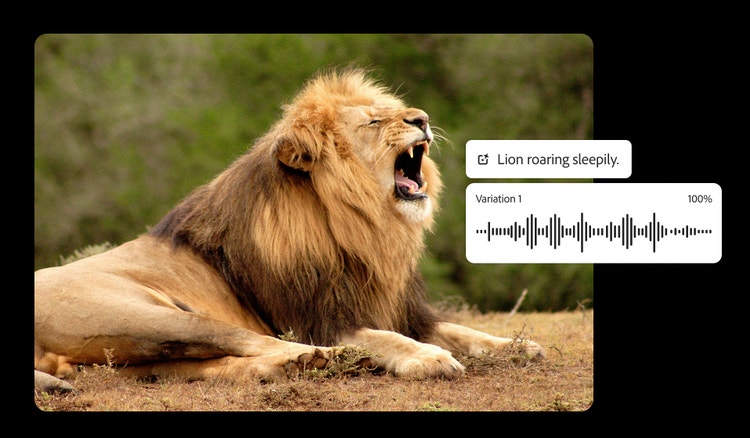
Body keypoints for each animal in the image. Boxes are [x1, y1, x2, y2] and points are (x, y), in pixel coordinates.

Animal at [34, 68, 544, 391]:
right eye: (374, 120)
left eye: (392, 110)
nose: (421, 118)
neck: (366, 230)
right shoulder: (320, 317)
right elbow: (385, 337)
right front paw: (427, 356)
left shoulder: (401, 309)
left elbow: (461, 330)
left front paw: (517, 346)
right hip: (147, 317)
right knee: (250, 340)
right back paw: (322, 359)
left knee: (213, 362)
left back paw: (288, 368)